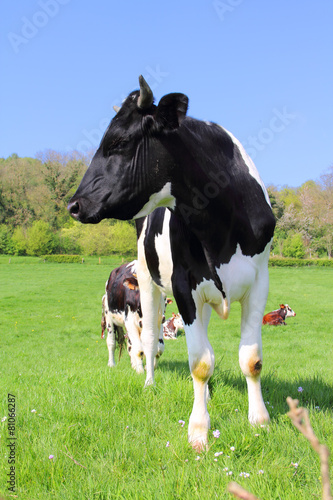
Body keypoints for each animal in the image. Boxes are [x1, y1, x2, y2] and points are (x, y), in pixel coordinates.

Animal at [67, 76, 274, 452]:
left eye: (119, 142)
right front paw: (198, 431)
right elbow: (200, 363)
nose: (74, 205)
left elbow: (250, 359)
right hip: (148, 281)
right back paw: (150, 384)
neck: (220, 223)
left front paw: (260, 422)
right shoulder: (182, 285)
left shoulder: (258, 282)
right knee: (150, 340)